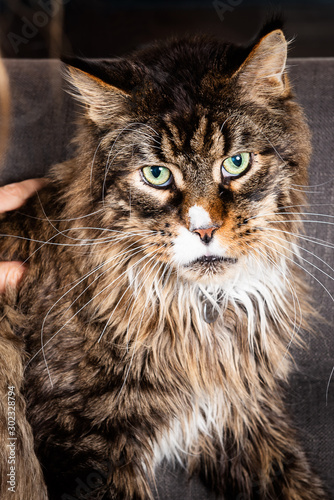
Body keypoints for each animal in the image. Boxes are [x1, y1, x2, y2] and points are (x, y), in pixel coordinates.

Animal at [0, 22, 328, 500]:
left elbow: (297, 484)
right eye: (156, 174)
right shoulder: (80, 442)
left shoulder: (242, 416)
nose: (204, 229)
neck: (205, 313)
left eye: (236, 163)